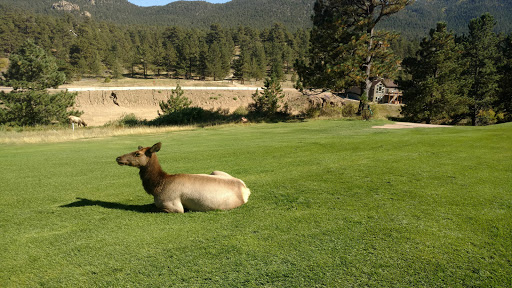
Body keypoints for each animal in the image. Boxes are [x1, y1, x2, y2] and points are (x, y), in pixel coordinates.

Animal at [116, 143, 252, 213]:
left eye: (137, 153)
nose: (118, 158)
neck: (157, 186)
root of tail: (245, 189)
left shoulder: (173, 206)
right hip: (215, 171)